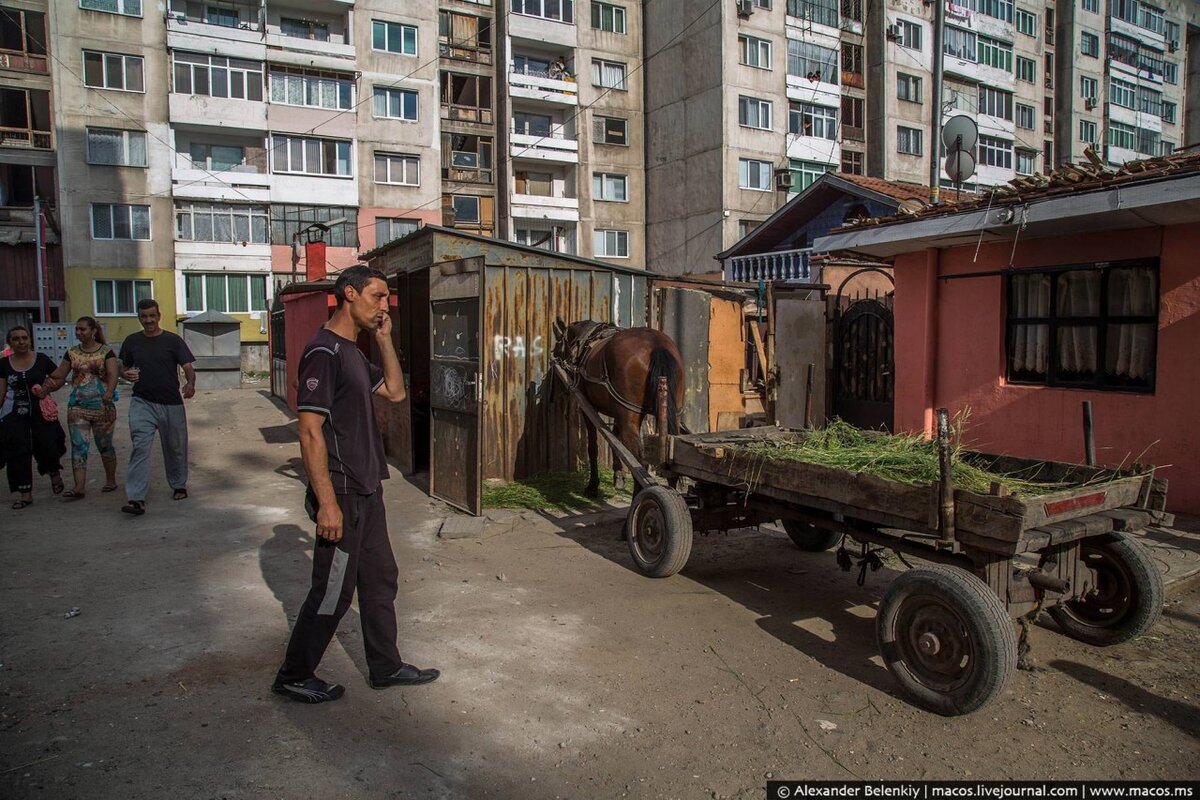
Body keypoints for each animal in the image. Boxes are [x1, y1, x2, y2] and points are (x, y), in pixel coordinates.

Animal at [552, 319, 686, 494]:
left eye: (558, 344)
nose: (555, 358)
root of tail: (657, 345)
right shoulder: (617, 412)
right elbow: (615, 441)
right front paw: (618, 476)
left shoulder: (588, 407)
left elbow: (593, 446)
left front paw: (593, 485)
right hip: (673, 413)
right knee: (671, 460)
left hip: (630, 415)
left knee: (641, 464)